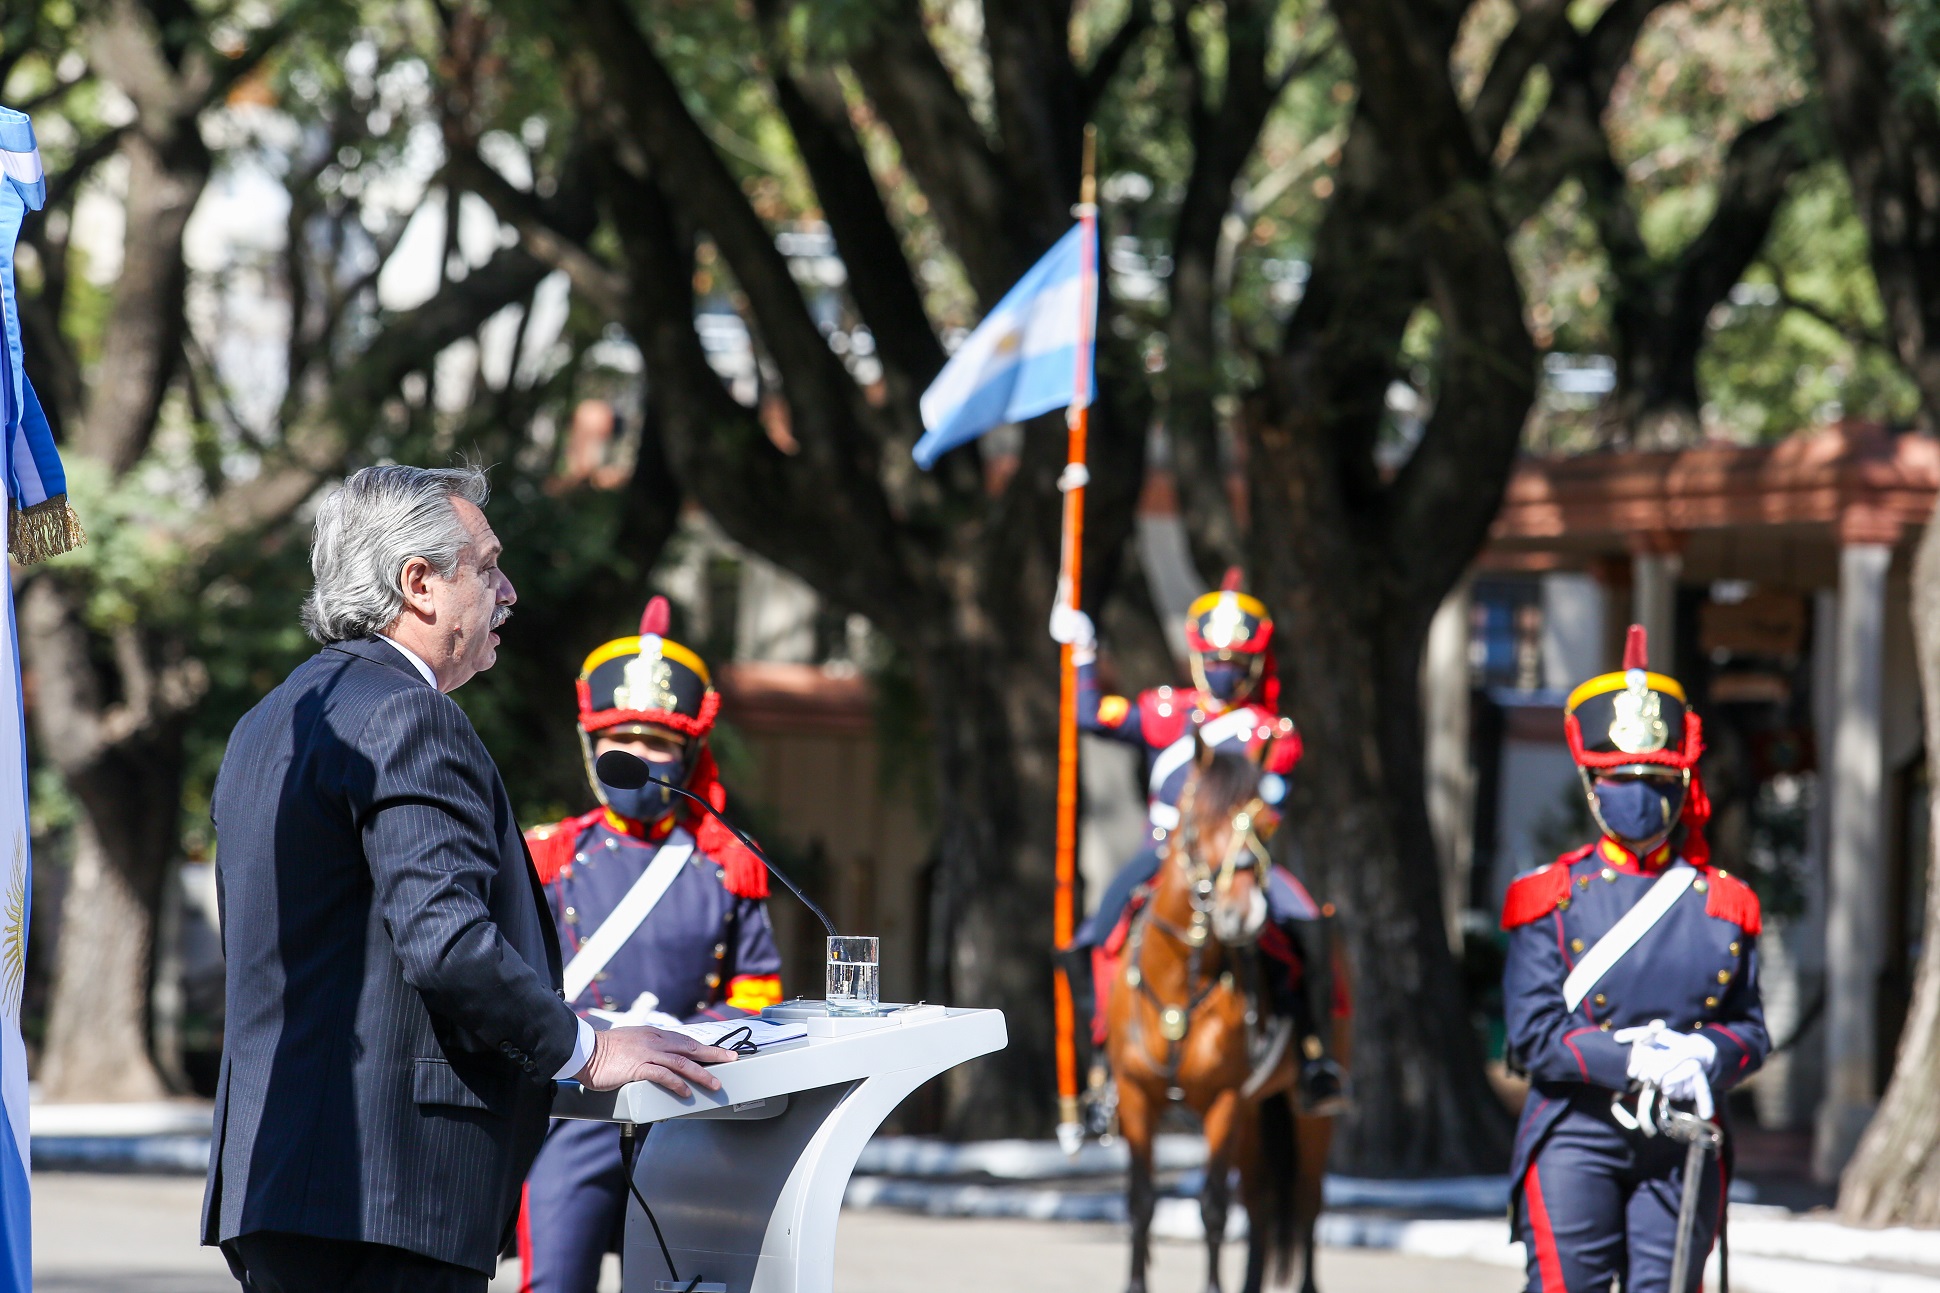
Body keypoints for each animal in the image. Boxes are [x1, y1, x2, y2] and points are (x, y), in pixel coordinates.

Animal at [1101, 745, 1342, 1289]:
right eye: (1200, 819)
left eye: (1266, 820)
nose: (1244, 914)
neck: (1180, 980)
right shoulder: (1136, 1094)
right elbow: (1140, 1202)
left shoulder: (1224, 1100)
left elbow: (1212, 1207)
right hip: (1255, 1114)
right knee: (1259, 1203)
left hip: (1306, 1115)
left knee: (1306, 1203)